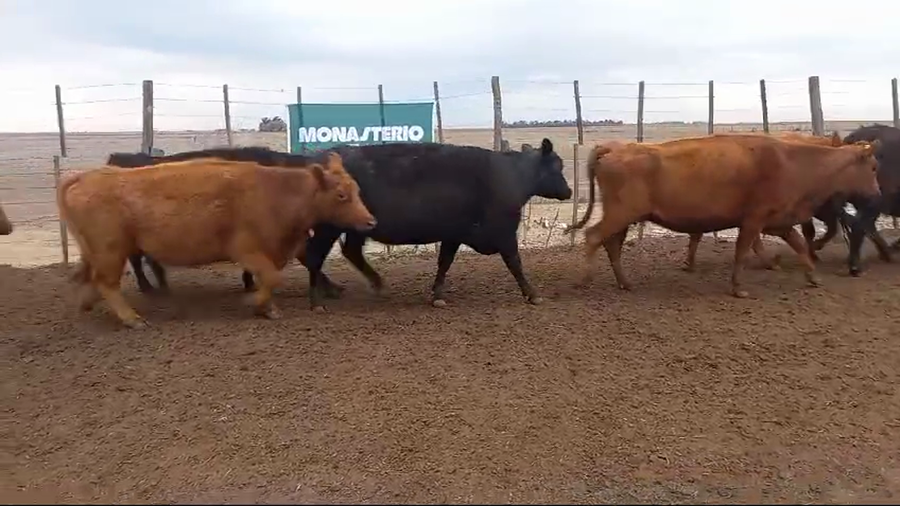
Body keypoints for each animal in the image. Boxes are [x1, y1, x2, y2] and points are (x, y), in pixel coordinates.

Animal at [57, 154, 376, 328]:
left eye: (357, 190)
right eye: (341, 195)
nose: (370, 221)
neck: (275, 191)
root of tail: (86, 177)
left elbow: (272, 277)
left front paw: (267, 307)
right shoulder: (247, 250)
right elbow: (272, 277)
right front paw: (258, 304)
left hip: (99, 251)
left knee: (93, 279)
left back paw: (87, 304)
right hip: (111, 250)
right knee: (107, 283)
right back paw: (131, 318)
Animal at [566, 134, 881, 298]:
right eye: (874, 167)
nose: (877, 193)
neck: (791, 161)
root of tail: (612, 147)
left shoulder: (778, 221)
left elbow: (800, 245)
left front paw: (813, 277)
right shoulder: (754, 220)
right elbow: (741, 252)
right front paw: (738, 288)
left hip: (623, 216)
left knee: (611, 244)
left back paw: (625, 283)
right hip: (621, 213)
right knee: (593, 236)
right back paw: (583, 280)